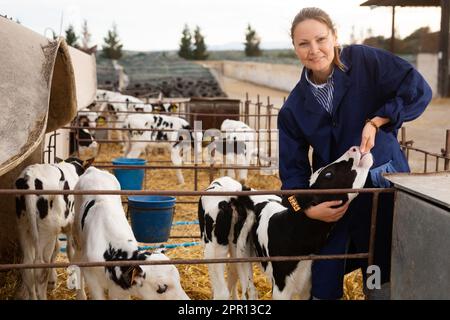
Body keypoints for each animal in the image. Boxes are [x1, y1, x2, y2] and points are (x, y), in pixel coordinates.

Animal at [14, 158, 89, 300]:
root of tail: (30, 177)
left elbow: (58, 248)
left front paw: (53, 281)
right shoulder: (71, 227)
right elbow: (71, 253)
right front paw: (80, 292)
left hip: (24, 227)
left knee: (27, 266)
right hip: (46, 232)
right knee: (41, 267)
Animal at [200, 146, 372, 298]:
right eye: (328, 174)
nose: (354, 148)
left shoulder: (307, 286)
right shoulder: (280, 286)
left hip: (236, 250)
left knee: (232, 274)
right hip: (215, 248)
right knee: (224, 290)